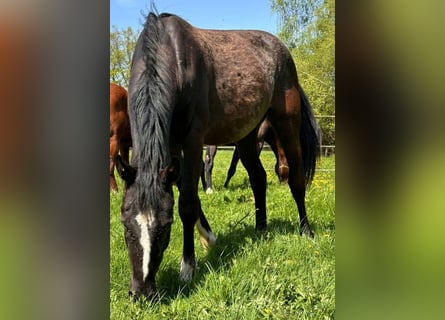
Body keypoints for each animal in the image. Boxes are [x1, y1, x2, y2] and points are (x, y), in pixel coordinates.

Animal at [115, 12, 320, 300]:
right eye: (125, 225)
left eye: (166, 227)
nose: (142, 292)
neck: (172, 56)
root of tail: (281, 49)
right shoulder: (172, 146)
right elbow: (187, 191)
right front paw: (209, 238)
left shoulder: (193, 140)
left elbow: (187, 202)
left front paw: (188, 268)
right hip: (247, 137)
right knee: (258, 178)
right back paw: (261, 229)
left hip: (286, 123)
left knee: (296, 179)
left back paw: (306, 230)